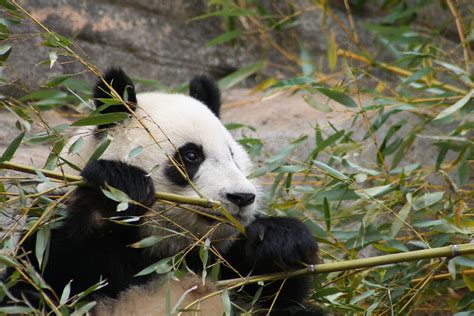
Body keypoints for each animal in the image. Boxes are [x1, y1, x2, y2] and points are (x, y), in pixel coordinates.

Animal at [7, 68, 320, 314]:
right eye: (191, 156)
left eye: (233, 156)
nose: (242, 198)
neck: (164, 250)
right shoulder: (51, 224)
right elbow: (43, 281)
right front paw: (120, 188)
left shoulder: (220, 259)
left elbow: (275, 294)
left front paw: (279, 239)